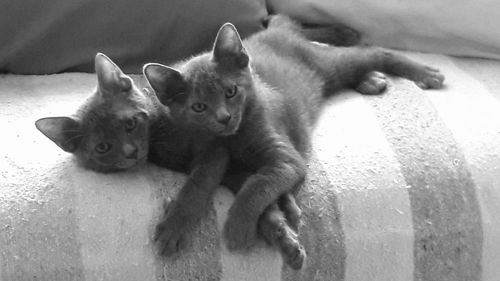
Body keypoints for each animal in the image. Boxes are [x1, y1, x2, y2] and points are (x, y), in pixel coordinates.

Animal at [143, 14, 444, 258]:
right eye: (199, 107)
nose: (224, 118)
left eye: (231, 92)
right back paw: (370, 76)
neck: (234, 138)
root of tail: (270, 35)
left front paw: (238, 227)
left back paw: (424, 72)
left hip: (328, 64)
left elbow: (258, 185)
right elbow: (208, 185)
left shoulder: (285, 158)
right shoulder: (219, 158)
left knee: (373, 51)